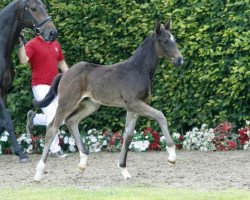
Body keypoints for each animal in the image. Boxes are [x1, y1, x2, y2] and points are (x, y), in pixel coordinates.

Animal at [0, 0, 57, 162]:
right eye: (33, 8)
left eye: (44, 7)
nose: (53, 33)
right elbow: (7, 121)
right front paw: (22, 154)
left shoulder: (4, 91)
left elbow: (3, 123)